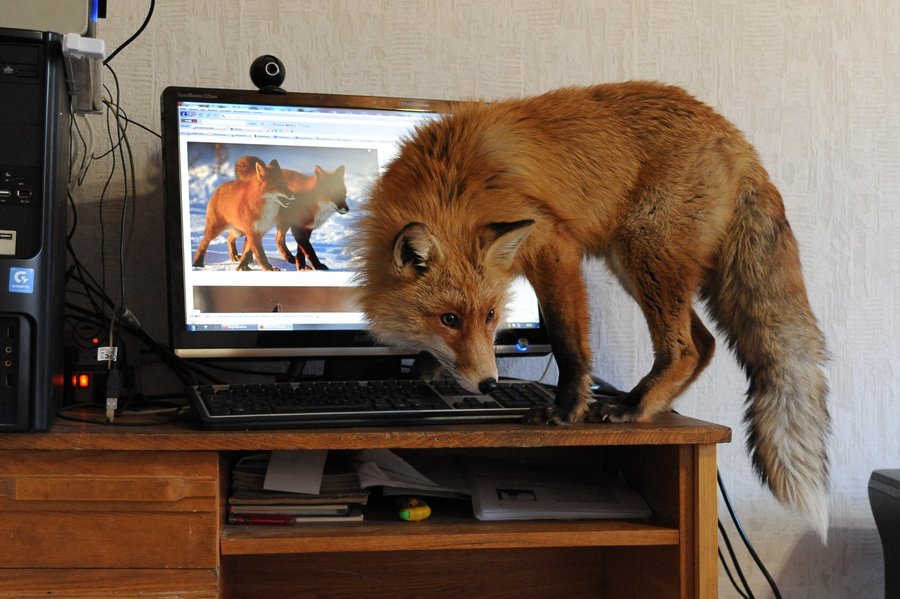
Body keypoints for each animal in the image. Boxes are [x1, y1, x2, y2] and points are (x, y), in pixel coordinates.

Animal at [352, 81, 831, 540]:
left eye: (490, 317)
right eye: (449, 319)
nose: (490, 384)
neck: (452, 182)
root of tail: (734, 135)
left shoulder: (552, 245)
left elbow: (569, 344)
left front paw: (566, 411)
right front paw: (426, 369)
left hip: (642, 250)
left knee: (685, 348)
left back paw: (632, 407)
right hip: (636, 262)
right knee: (707, 343)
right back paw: (652, 403)